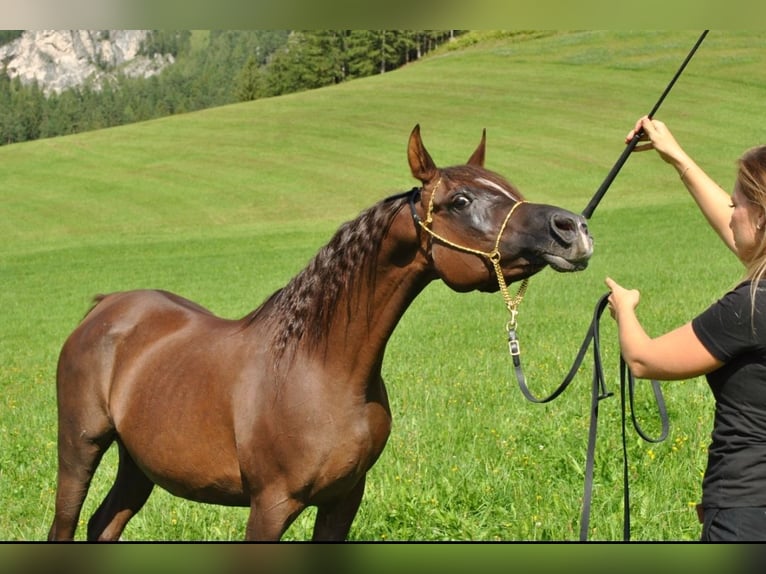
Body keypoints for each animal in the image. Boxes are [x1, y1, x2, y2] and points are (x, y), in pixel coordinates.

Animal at [48, 124, 596, 544]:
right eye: (461, 200)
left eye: (509, 186)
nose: (572, 228)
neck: (320, 369)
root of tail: (106, 307)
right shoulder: (270, 506)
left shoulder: (343, 500)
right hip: (80, 449)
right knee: (67, 526)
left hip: (137, 464)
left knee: (103, 525)